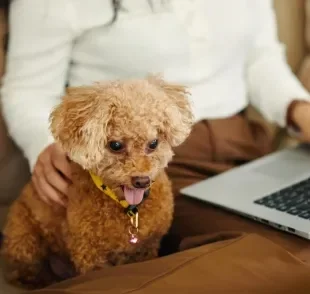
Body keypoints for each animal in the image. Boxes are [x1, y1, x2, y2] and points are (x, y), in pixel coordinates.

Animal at [0, 74, 194, 288]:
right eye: (115, 145)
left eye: (153, 143)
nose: (141, 181)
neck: (126, 208)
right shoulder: (90, 255)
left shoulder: (147, 247)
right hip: (25, 242)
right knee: (24, 273)